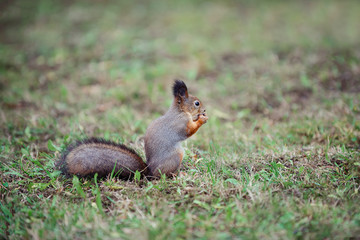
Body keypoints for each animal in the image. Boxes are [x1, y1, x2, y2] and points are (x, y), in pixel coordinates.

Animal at [56, 79, 208, 179]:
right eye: (196, 103)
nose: (204, 110)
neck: (179, 111)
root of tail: (150, 172)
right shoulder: (181, 123)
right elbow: (189, 130)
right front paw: (202, 119)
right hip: (176, 156)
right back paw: (180, 174)